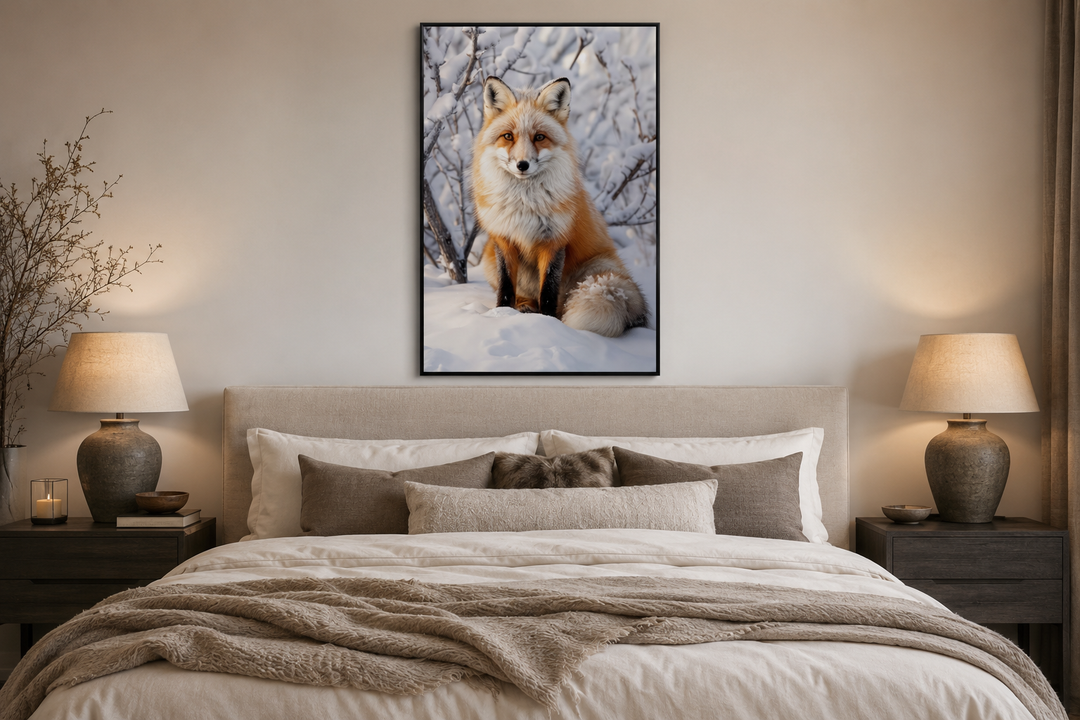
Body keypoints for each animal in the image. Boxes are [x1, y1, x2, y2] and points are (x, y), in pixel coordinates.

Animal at [472, 76, 649, 338]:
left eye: (539, 137)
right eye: (508, 136)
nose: (522, 164)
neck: (524, 203)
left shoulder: (554, 241)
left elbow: (548, 291)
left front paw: (548, 324)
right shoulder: (504, 239)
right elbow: (505, 288)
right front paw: (501, 315)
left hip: (595, 271)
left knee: (561, 300)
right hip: (487, 259)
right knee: (524, 295)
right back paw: (524, 306)